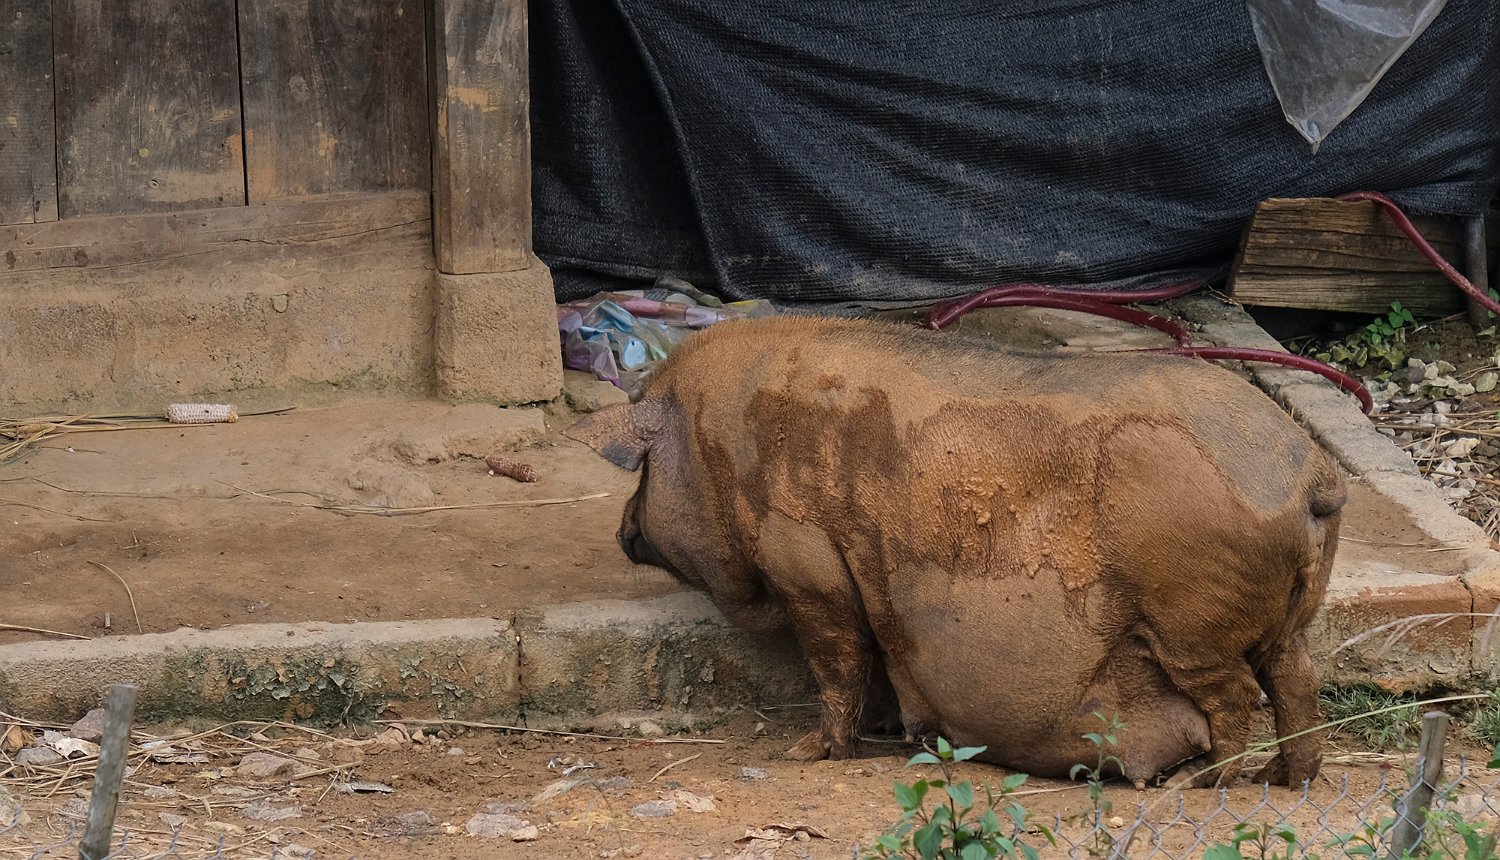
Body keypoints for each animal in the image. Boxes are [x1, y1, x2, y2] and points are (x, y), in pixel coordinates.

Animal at [568, 315, 1343, 787]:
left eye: (642, 471)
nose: (622, 530)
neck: (714, 448)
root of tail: (1311, 471)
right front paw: (883, 729)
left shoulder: (802, 558)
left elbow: (836, 657)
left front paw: (810, 753)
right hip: (1283, 622)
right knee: (1297, 680)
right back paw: (1288, 779)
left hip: (1193, 618)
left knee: (1238, 694)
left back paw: (1205, 780)